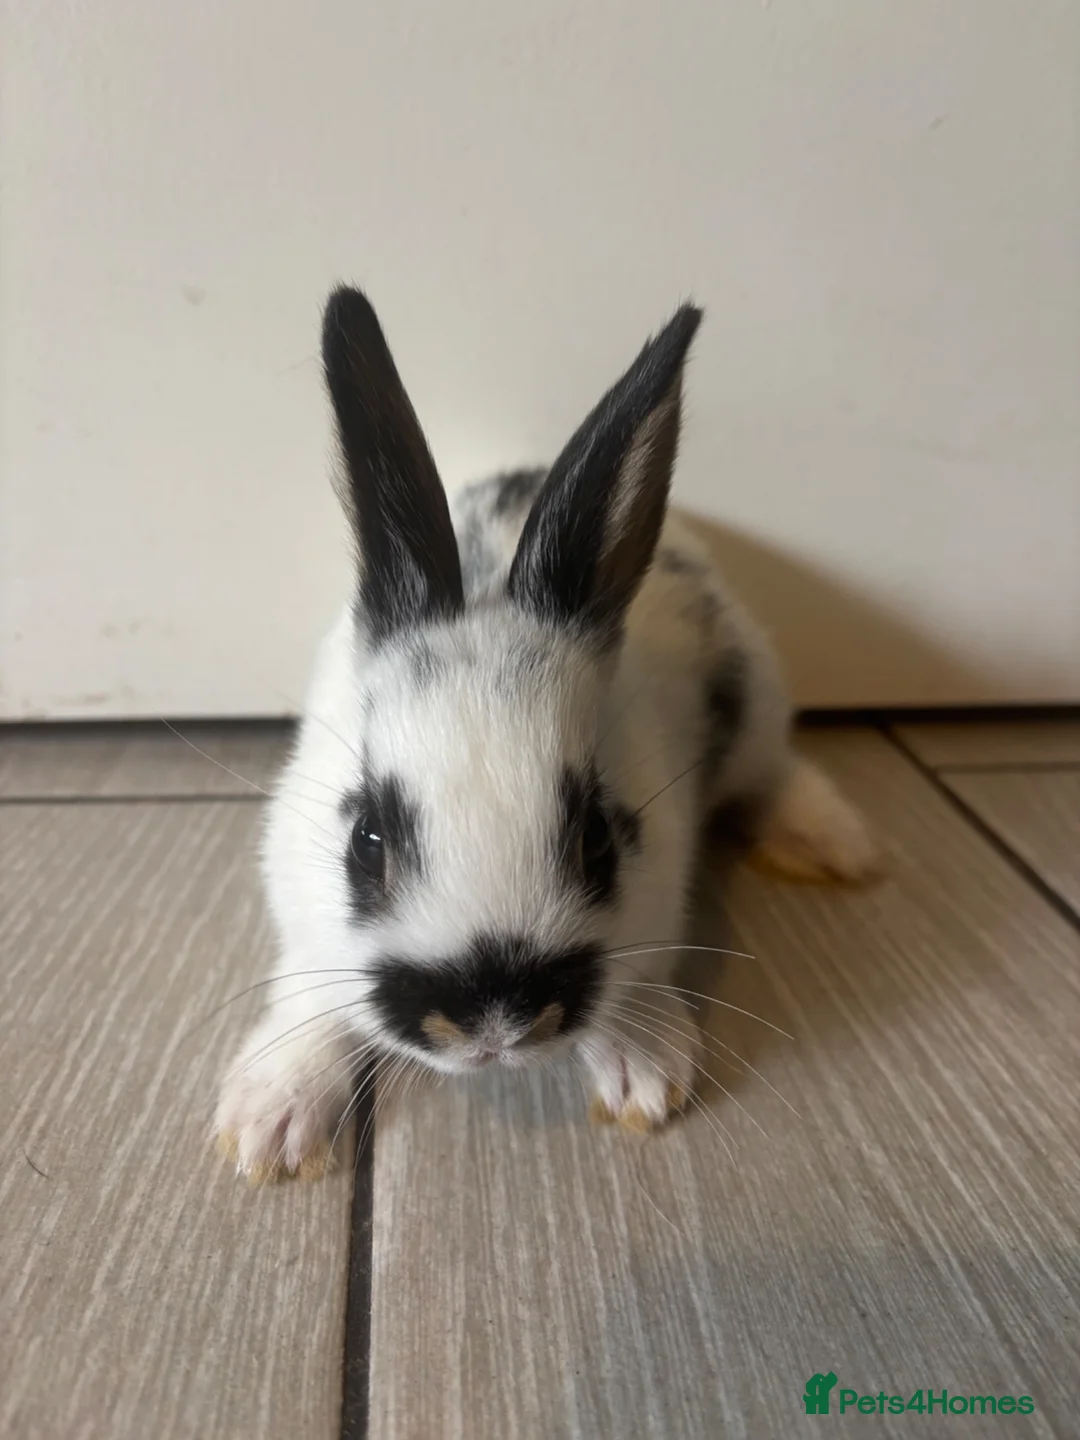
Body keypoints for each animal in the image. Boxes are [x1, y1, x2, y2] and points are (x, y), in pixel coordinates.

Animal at [215, 285, 877, 1182]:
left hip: (755, 712)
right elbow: (309, 993)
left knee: (776, 776)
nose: (490, 1024)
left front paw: (643, 1075)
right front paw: (269, 1128)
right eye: (367, 841)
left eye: (598, 838)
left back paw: (835, 847)